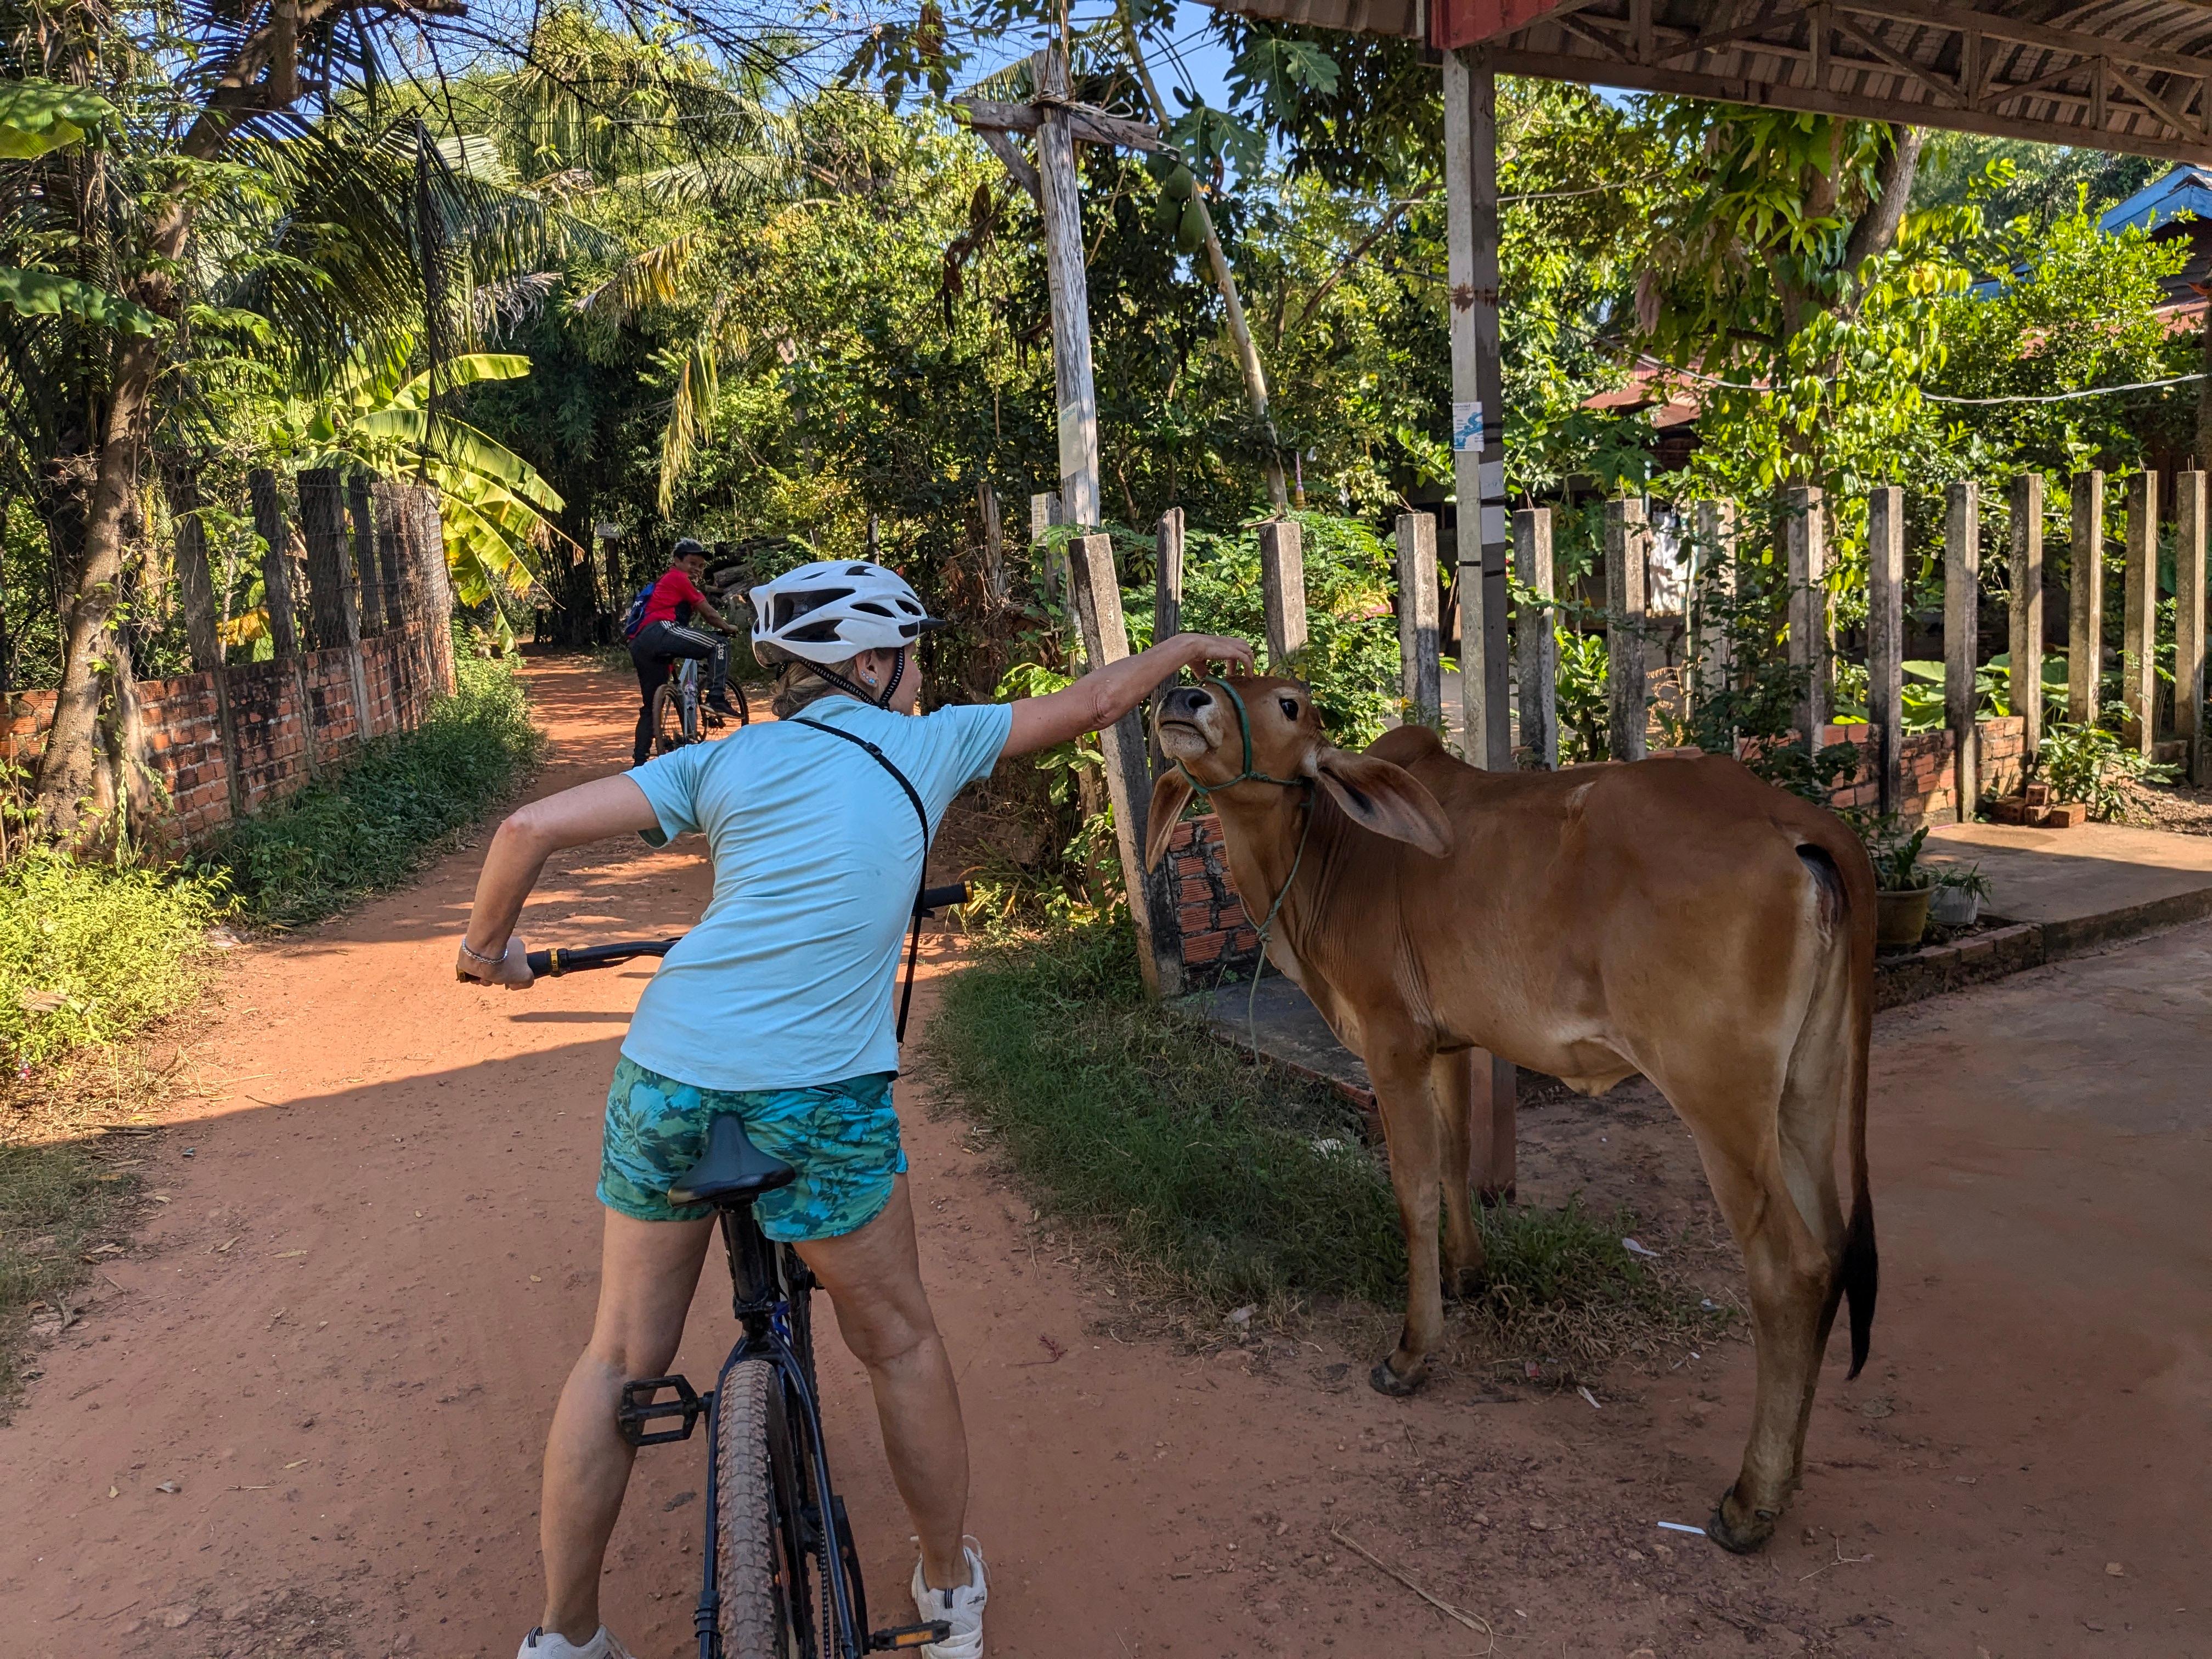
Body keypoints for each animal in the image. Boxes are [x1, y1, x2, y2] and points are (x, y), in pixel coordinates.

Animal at [1150, 676, 1876, 1557]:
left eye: (1290, 703)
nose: (1184, 694)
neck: (1326, 855)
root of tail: (1797, 822)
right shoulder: (1451, 1041)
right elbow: (1459, 1159)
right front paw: (1467, 1276)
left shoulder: (1392, 1043)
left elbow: (1414, 1191)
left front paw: (1412, 1351)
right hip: (1807, 1088)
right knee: (1834, 1250)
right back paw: (1789, 1474)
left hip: (1720, 1097)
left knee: (1791, 1269)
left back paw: (1750, 1500)